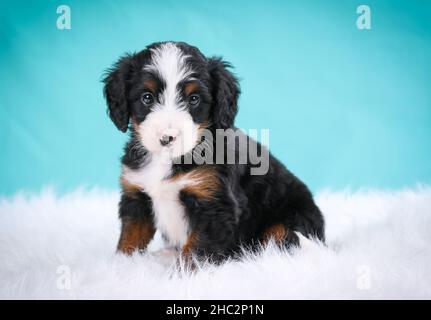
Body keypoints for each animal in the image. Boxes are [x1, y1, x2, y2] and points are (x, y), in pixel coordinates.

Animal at [104, 41, 324, 264]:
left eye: (194, 98)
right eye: (147, 97)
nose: (168, 138)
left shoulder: (214, 206)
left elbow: (195, 251)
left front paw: (182, 272)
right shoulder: (136, 196)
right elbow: (130, 238)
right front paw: (121, 265)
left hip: (288, 223)